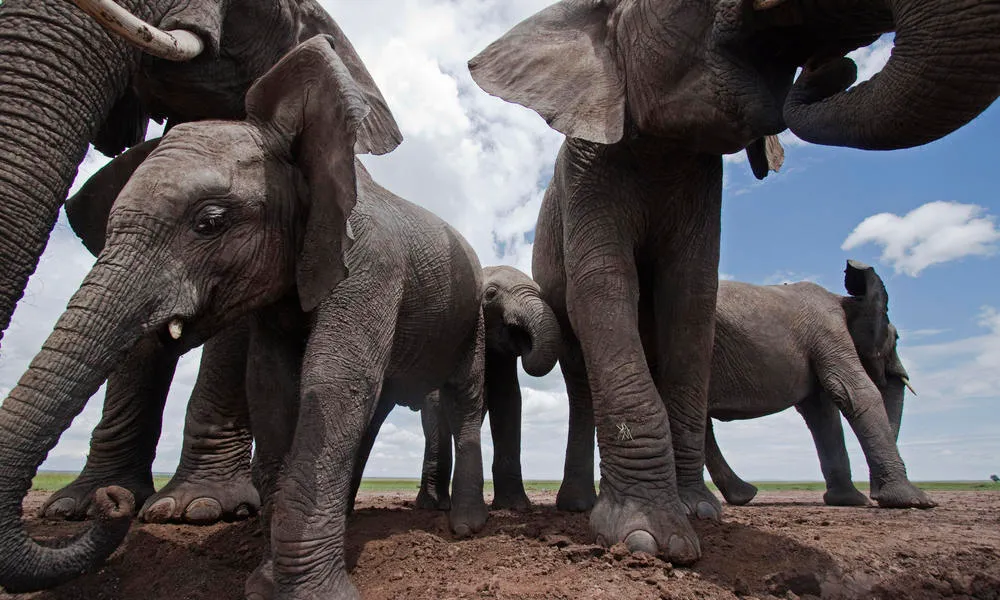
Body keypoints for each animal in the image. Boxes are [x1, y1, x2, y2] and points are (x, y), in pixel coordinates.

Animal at [415, 266, 561, 512]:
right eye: (491, 294)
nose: (525, 340)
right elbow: (435, 404)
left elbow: (508, 401)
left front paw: (515, 507)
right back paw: (433, 505)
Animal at [467, 0, 995, 563]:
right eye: (894, 338)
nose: (837, 67)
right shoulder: (587, 173)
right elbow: (606, 291)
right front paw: (652, 541)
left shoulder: (704, 186)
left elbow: (693, 298)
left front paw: (699, 514)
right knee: (583, 377)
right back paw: (589, 507)